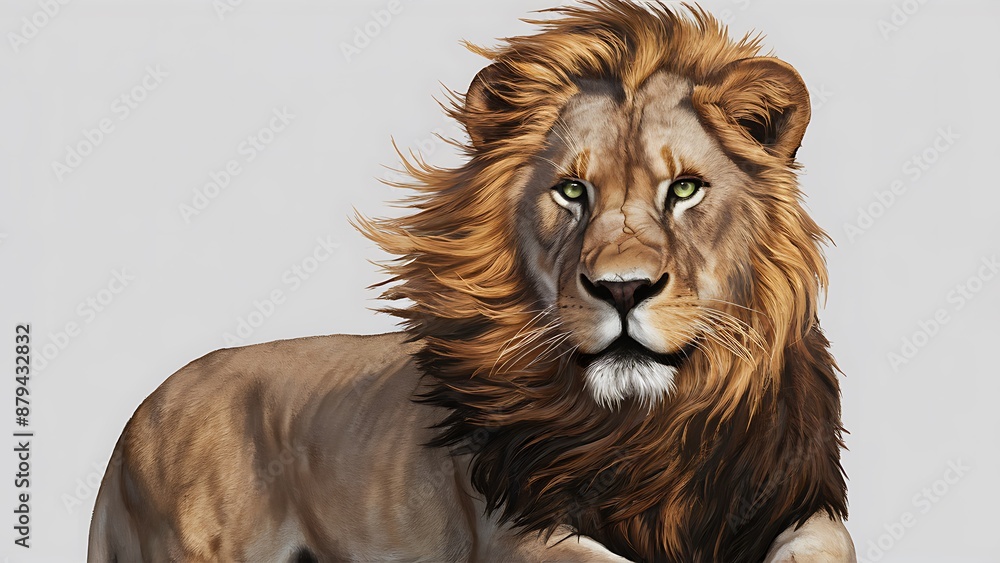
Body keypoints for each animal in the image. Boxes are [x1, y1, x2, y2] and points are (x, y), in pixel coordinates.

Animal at [89, 2, 856, 561]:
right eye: (571, 191)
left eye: (686, 189)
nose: (622, 288)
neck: (648, 427)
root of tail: (139, 412)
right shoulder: (521, 530)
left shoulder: (804, 505)